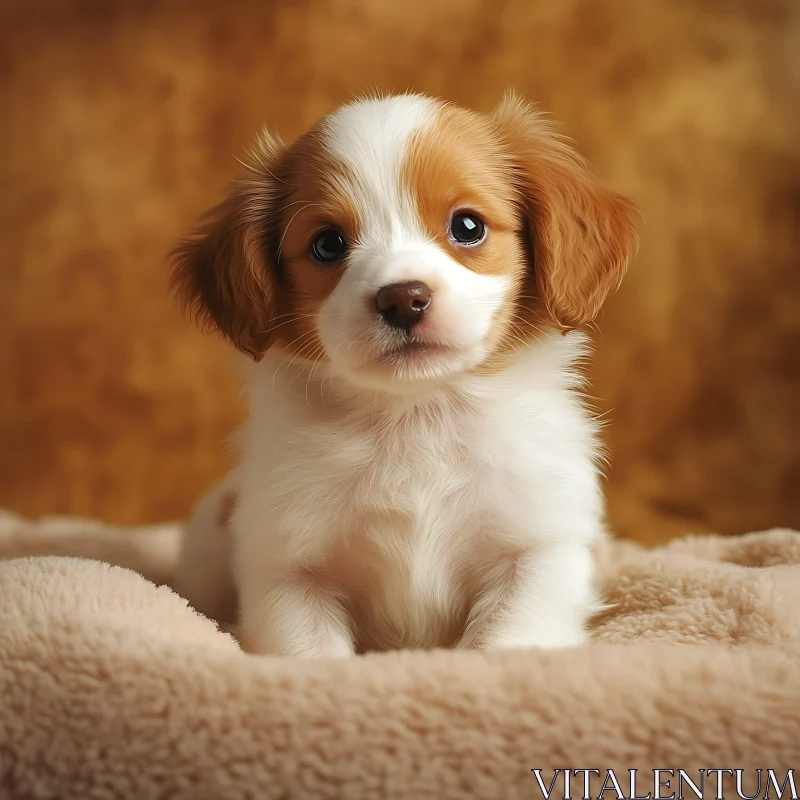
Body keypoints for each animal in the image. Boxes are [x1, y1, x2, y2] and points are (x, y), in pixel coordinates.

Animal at [169, 92, 636, 656]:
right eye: (327, 244)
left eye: (468, 227)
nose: (402, 298)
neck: (416, 416)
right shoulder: (289, 571)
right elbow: (309, 652)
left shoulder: (539, 551)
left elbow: (508, 640)